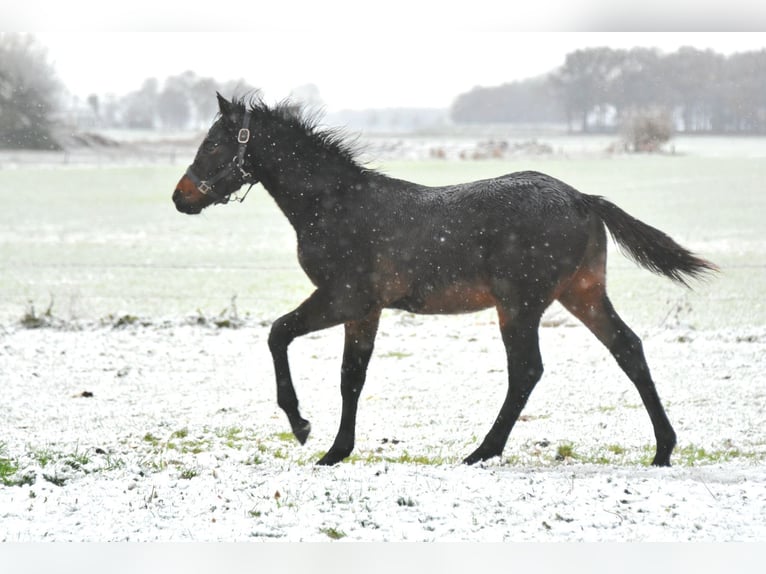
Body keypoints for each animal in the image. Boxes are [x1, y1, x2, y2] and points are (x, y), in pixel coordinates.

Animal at [174, 93, 720, 468]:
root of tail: (583, 198)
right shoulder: (365, 310)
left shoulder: (342, 298)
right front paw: (337, 450)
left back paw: (482, 451)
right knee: (627, 348)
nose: (181, 197)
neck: (336, 205)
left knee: (527, 370)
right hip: (581, 294)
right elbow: (352, 377)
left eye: (215, 143)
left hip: (520, 305)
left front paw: (304, 427)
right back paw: (663, 449)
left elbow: (278, 334)